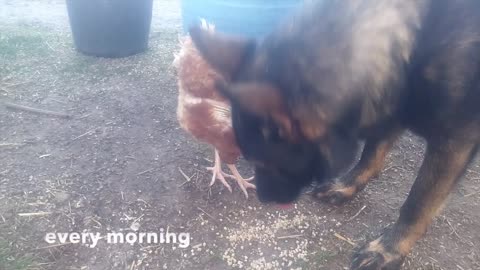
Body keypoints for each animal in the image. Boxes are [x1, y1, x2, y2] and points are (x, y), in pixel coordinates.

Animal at [189, 1, 478, 268]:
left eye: (265, 162)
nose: (263, 199)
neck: (412, 40)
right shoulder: (391, 101)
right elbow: (371, 152)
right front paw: (347, 185)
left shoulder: (454, 141)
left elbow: (416, 203)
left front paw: (388, 250)